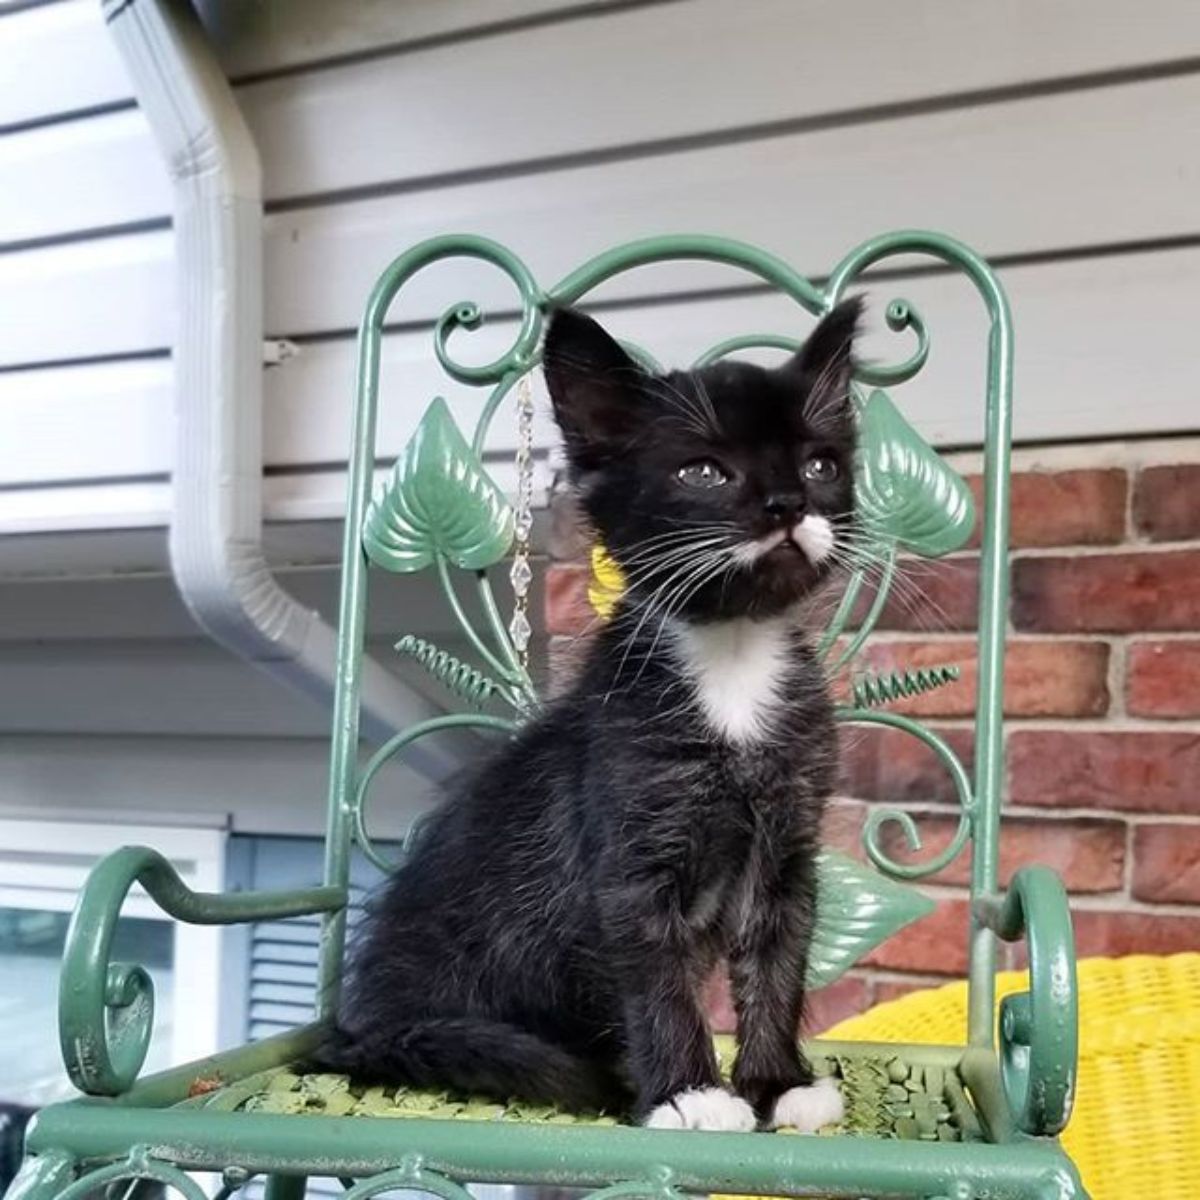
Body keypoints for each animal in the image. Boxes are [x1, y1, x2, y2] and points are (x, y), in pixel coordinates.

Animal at [319, 300, 864, 1132]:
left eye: (819, 466)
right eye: (703, 472)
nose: (787, 506)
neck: (731, 660)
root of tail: (362, 1029)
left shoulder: (787, 847)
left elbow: (778, 963)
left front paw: (777, 1084)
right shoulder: (629, 848)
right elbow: (659, 979)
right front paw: (691, 1094)